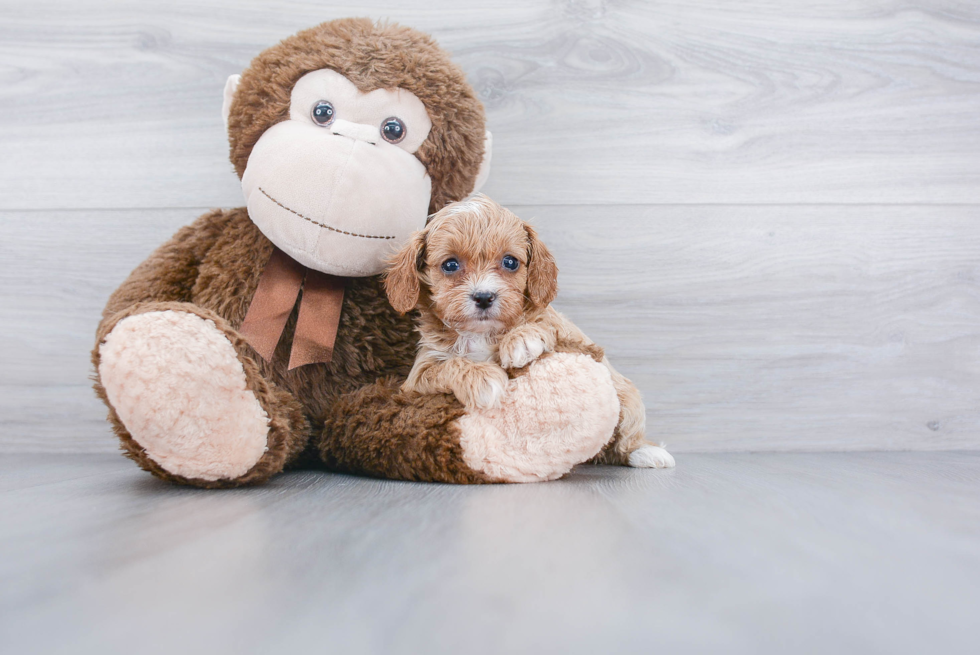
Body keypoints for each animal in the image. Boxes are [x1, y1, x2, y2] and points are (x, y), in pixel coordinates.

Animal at [380, 192, 672, 468]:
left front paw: (520, 340)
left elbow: (544, 323)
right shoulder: (416, 378)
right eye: (450, 265)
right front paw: (483, 378)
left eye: (510, 262)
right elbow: (446, 366)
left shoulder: (578, 340)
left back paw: (647, 452)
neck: (481, 333)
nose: (484, 297)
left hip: (629, 400)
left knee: (625, 441)